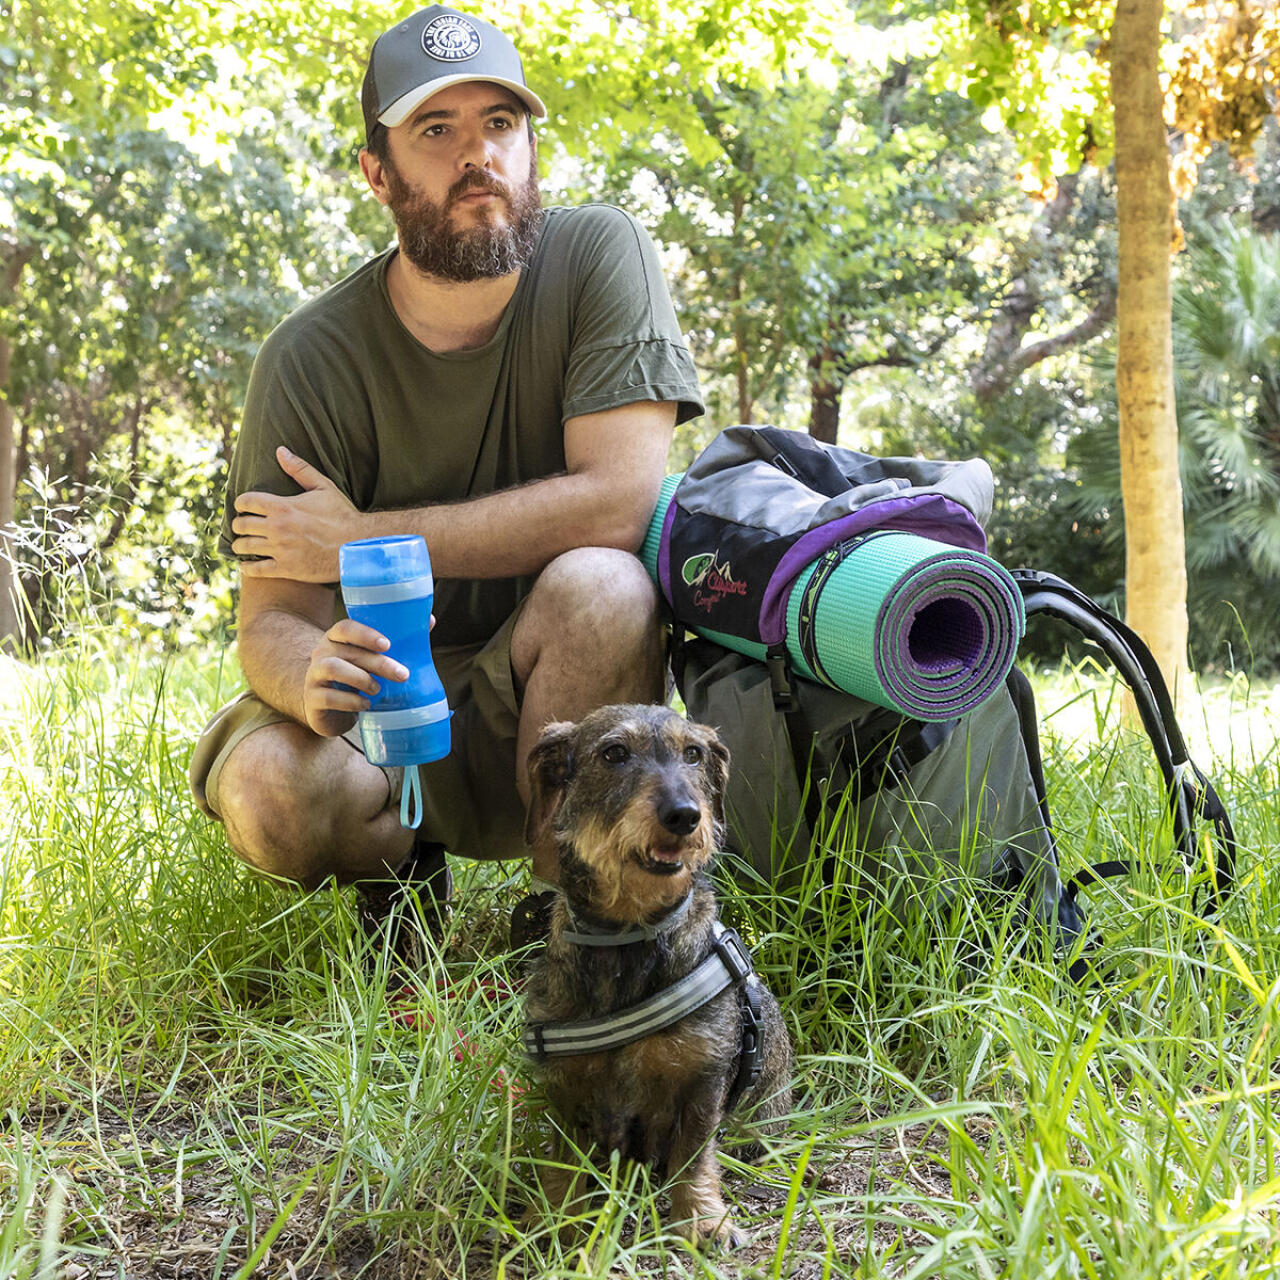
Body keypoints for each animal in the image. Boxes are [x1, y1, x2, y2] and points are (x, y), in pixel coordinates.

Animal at [519, 706, 788, 1244]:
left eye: (694, 754)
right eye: (614, 753)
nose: (684, 815)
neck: (630, 937)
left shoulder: (703, 1081)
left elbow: (693, 1154)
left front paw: (702, 1218)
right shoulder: (564, 1086)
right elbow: (564, 1158)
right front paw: (558, 1217)